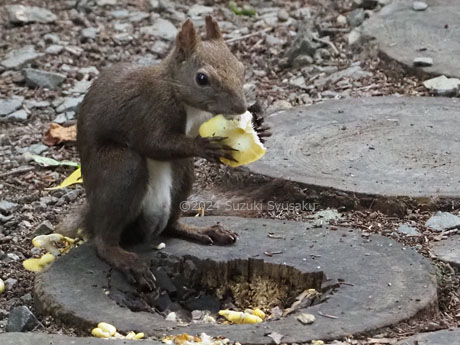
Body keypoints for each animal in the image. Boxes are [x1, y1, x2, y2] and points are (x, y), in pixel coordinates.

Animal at [76, 16, 272, 290]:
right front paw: (204, 146)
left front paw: (260, 124)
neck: (178, 92)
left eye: (241, 68)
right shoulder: (149, 110)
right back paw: (126, 260)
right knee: (104, 240)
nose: (240, 107)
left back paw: (202, 231)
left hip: (182, 173)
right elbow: (154, 143)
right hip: (120, 169)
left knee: (171, 225)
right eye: (202, 78)